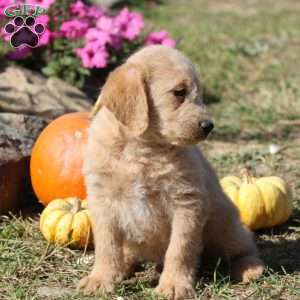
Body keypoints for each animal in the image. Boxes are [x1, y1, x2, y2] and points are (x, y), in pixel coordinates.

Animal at [78, 45, 264, 298]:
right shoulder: (102, 201)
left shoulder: (187, 202)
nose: (209, 126)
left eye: (200, 95)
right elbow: (107, 246)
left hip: (225, 225)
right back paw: (125, 264)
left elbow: (180, 249)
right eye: (179, 92)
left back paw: (249, 267)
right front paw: (100, 279)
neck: (141, 148)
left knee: (244, 246)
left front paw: (173, 285)